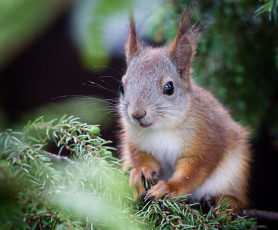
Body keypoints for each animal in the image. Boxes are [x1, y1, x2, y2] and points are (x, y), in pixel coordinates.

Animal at [118, 7, 251, 212]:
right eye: (121, 87)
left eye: (169, 88)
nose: (137, 114)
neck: (162, 128)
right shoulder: (135, 140)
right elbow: (142, 158)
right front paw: (139, 173)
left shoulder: (207, 141)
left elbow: (193, 172)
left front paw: (168, 188)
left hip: (235, 173)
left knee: (239, 201)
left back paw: (225, 205)